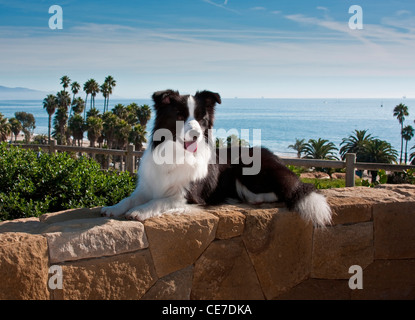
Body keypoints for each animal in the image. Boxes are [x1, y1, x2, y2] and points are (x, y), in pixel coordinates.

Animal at [102, 89, 334, 226]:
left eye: (201, 119)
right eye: (180, 116)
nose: (196, 134)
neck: (176, 154)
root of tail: (276, 158)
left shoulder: (188, 196)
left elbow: (159, 201)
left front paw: (139, 211)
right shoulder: (147, 187)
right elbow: (129, 198)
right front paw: (114, 208)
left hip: (248, 168)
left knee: (282, 192)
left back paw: (253, 198)